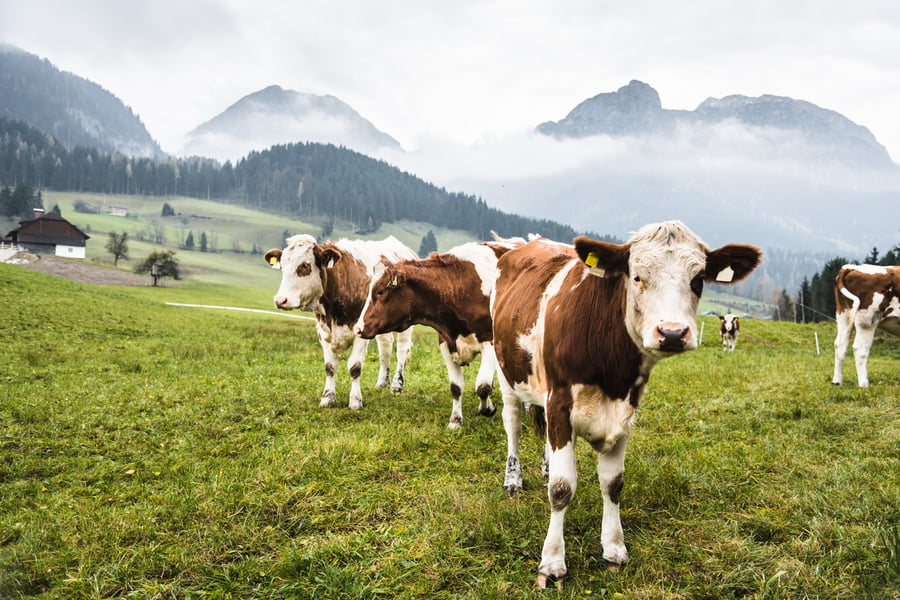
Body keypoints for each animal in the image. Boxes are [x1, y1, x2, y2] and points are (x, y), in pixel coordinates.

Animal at [260, 232, 414, 410]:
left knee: (402, 349)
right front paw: (327, 398)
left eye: (305, 265)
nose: (280, 300)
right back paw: (382, 382)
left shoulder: (360, 332)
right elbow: (330, 367)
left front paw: (355, 401)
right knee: (385, 346)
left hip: (405, 325)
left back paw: (396, 385)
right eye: (282, 266)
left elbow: (355, 367)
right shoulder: (323, 332)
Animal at [352, 239, 520, 426]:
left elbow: (483, 386)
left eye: (380, 292)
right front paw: (455, 421)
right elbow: (456, 387)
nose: (358, 329)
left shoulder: (489, 342)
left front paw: (488, 409)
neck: (459, 287)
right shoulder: (446, 342)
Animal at [488, 220, 764, 584]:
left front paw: (614, 548)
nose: (672, 333)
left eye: (698, 279)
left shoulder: (625, 408)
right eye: (636, 276)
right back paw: (513, 480)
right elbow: (562, 488)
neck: (610, 368)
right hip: (506, 371)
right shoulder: (560, 401)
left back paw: (546, 465)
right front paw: (552, 561)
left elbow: (613, 483)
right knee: (513, 424)